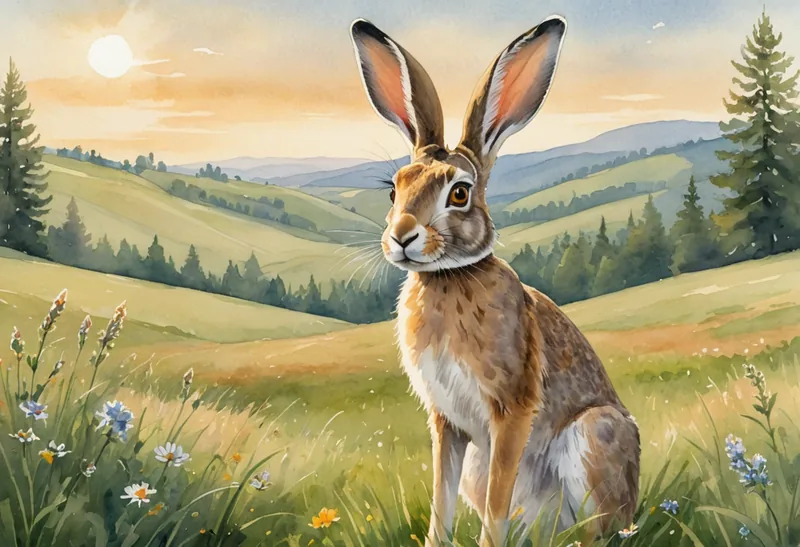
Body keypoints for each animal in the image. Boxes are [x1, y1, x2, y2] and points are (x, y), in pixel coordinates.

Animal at [350, 15, 640, 547]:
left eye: (459, 193)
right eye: (394, 190)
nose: (401, 236)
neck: (450, 276)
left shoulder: (512, 411)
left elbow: (496, 501)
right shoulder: (446, 422)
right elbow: (442, 499)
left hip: (597, 435)